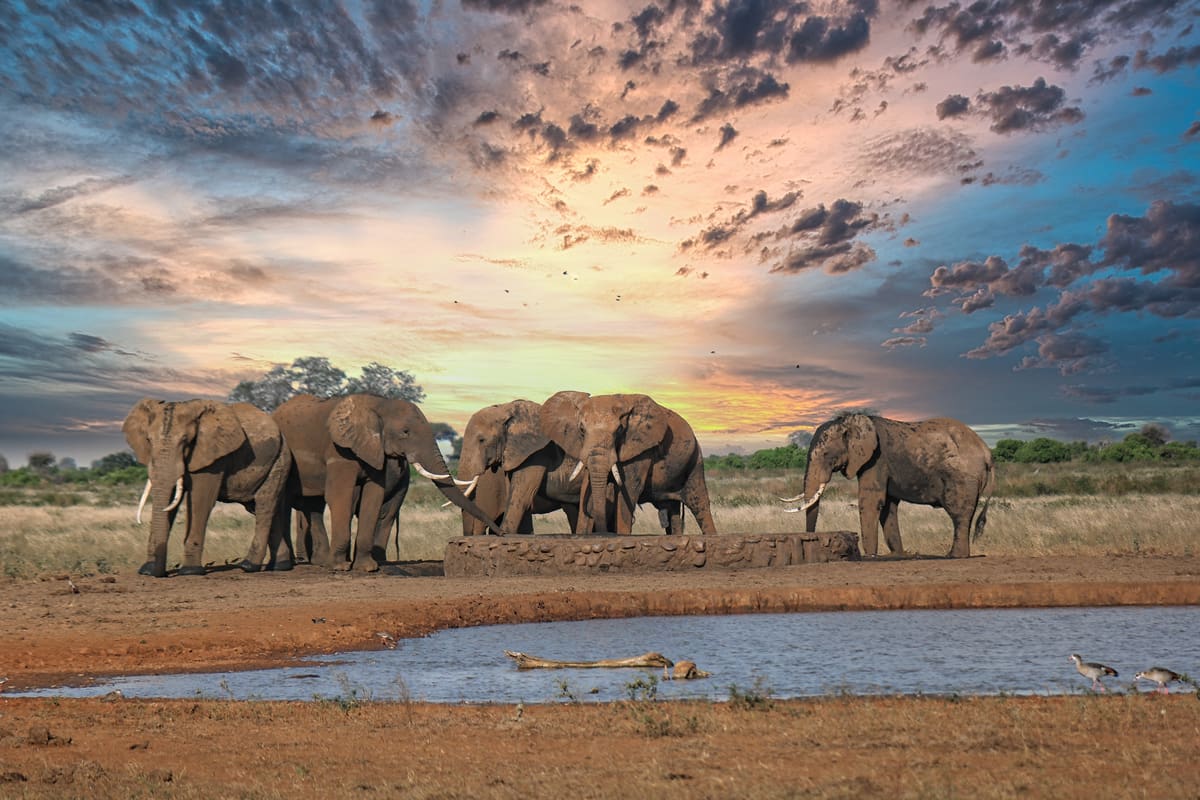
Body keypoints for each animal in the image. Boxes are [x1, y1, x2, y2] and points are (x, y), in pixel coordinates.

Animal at [122, 398, 293, 577]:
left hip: (280, 460)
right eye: (148, 440)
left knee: (264, 506)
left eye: (186, 440)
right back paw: (279, 566)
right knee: (267, 509)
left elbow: (200, 501)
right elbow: (170, 502)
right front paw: (147, 570)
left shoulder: (213, 458)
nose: (158, 573)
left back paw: (249, 566)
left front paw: (190, 571)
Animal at [273, 393, 501, 571]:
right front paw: (340, 567)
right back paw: (291, 564)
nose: (501, 533)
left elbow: (374, 497)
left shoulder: (374, 450)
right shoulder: (339, 451)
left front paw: (367, 568)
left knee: (313, 506)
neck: (379, 404)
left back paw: (318, 562)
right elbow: (340, 495)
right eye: (405, 432)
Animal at [539, 391, 718, 536]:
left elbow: (629, 491)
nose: (603, 533)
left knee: (699, 505)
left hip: (695, 459)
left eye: (619, 431)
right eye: (582, 430)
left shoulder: (641, 449)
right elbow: (586, 488)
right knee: (672, 510)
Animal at [784, 414, 995, 558]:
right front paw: (898, 555)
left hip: (962, 477)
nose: (811, 540)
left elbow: (871, 501)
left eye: (827, 455)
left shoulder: (877, 460)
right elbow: (888, 507)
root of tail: (987, 453)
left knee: (958, 514)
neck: (853, 420)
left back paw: (954, 556)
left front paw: (869, 556)